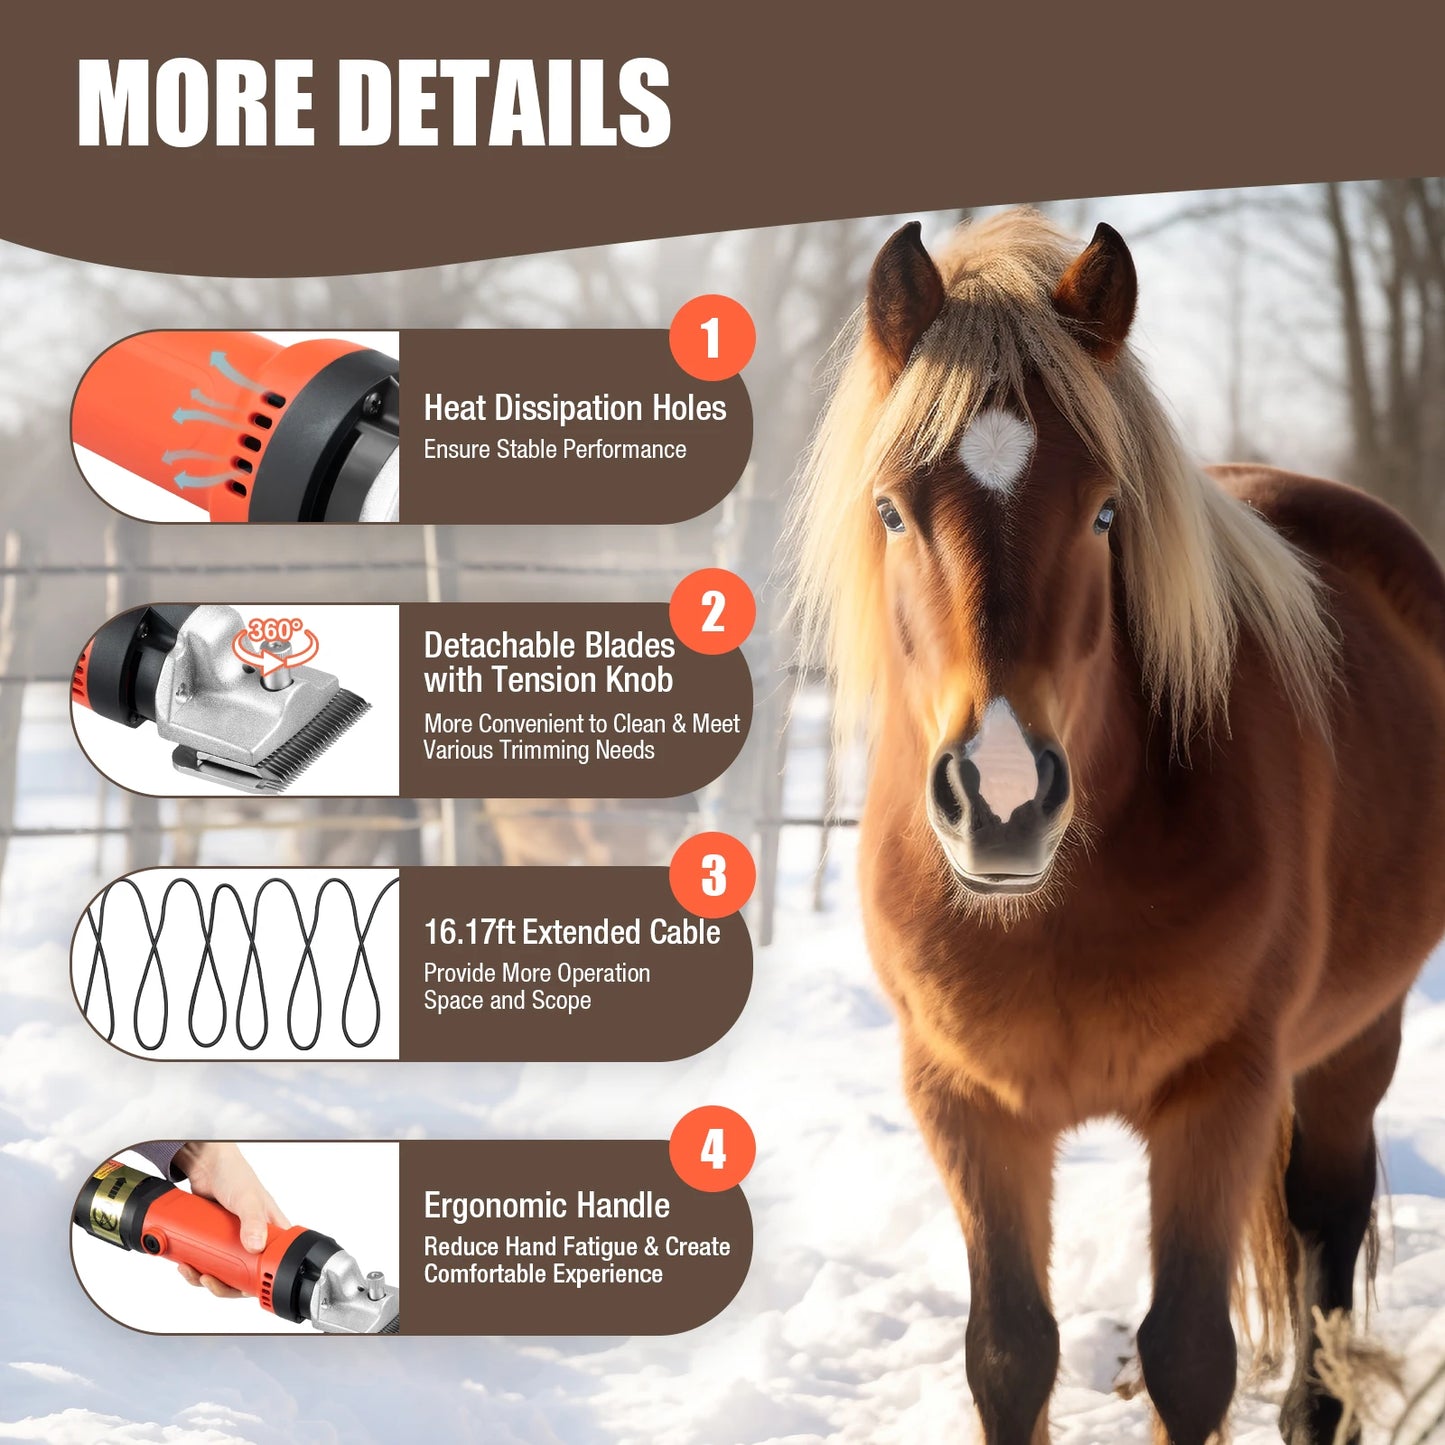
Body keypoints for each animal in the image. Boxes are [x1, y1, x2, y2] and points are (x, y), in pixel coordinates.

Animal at [791, 208, 1445, 1445]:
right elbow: (1008, 1353)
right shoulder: (962, 1100)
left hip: (1353, 1037)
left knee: (1321, 1225)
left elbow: (1188, 1353)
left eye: (1103, 511)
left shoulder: (1218, 1091)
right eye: (891, 507)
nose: (1000, 799)